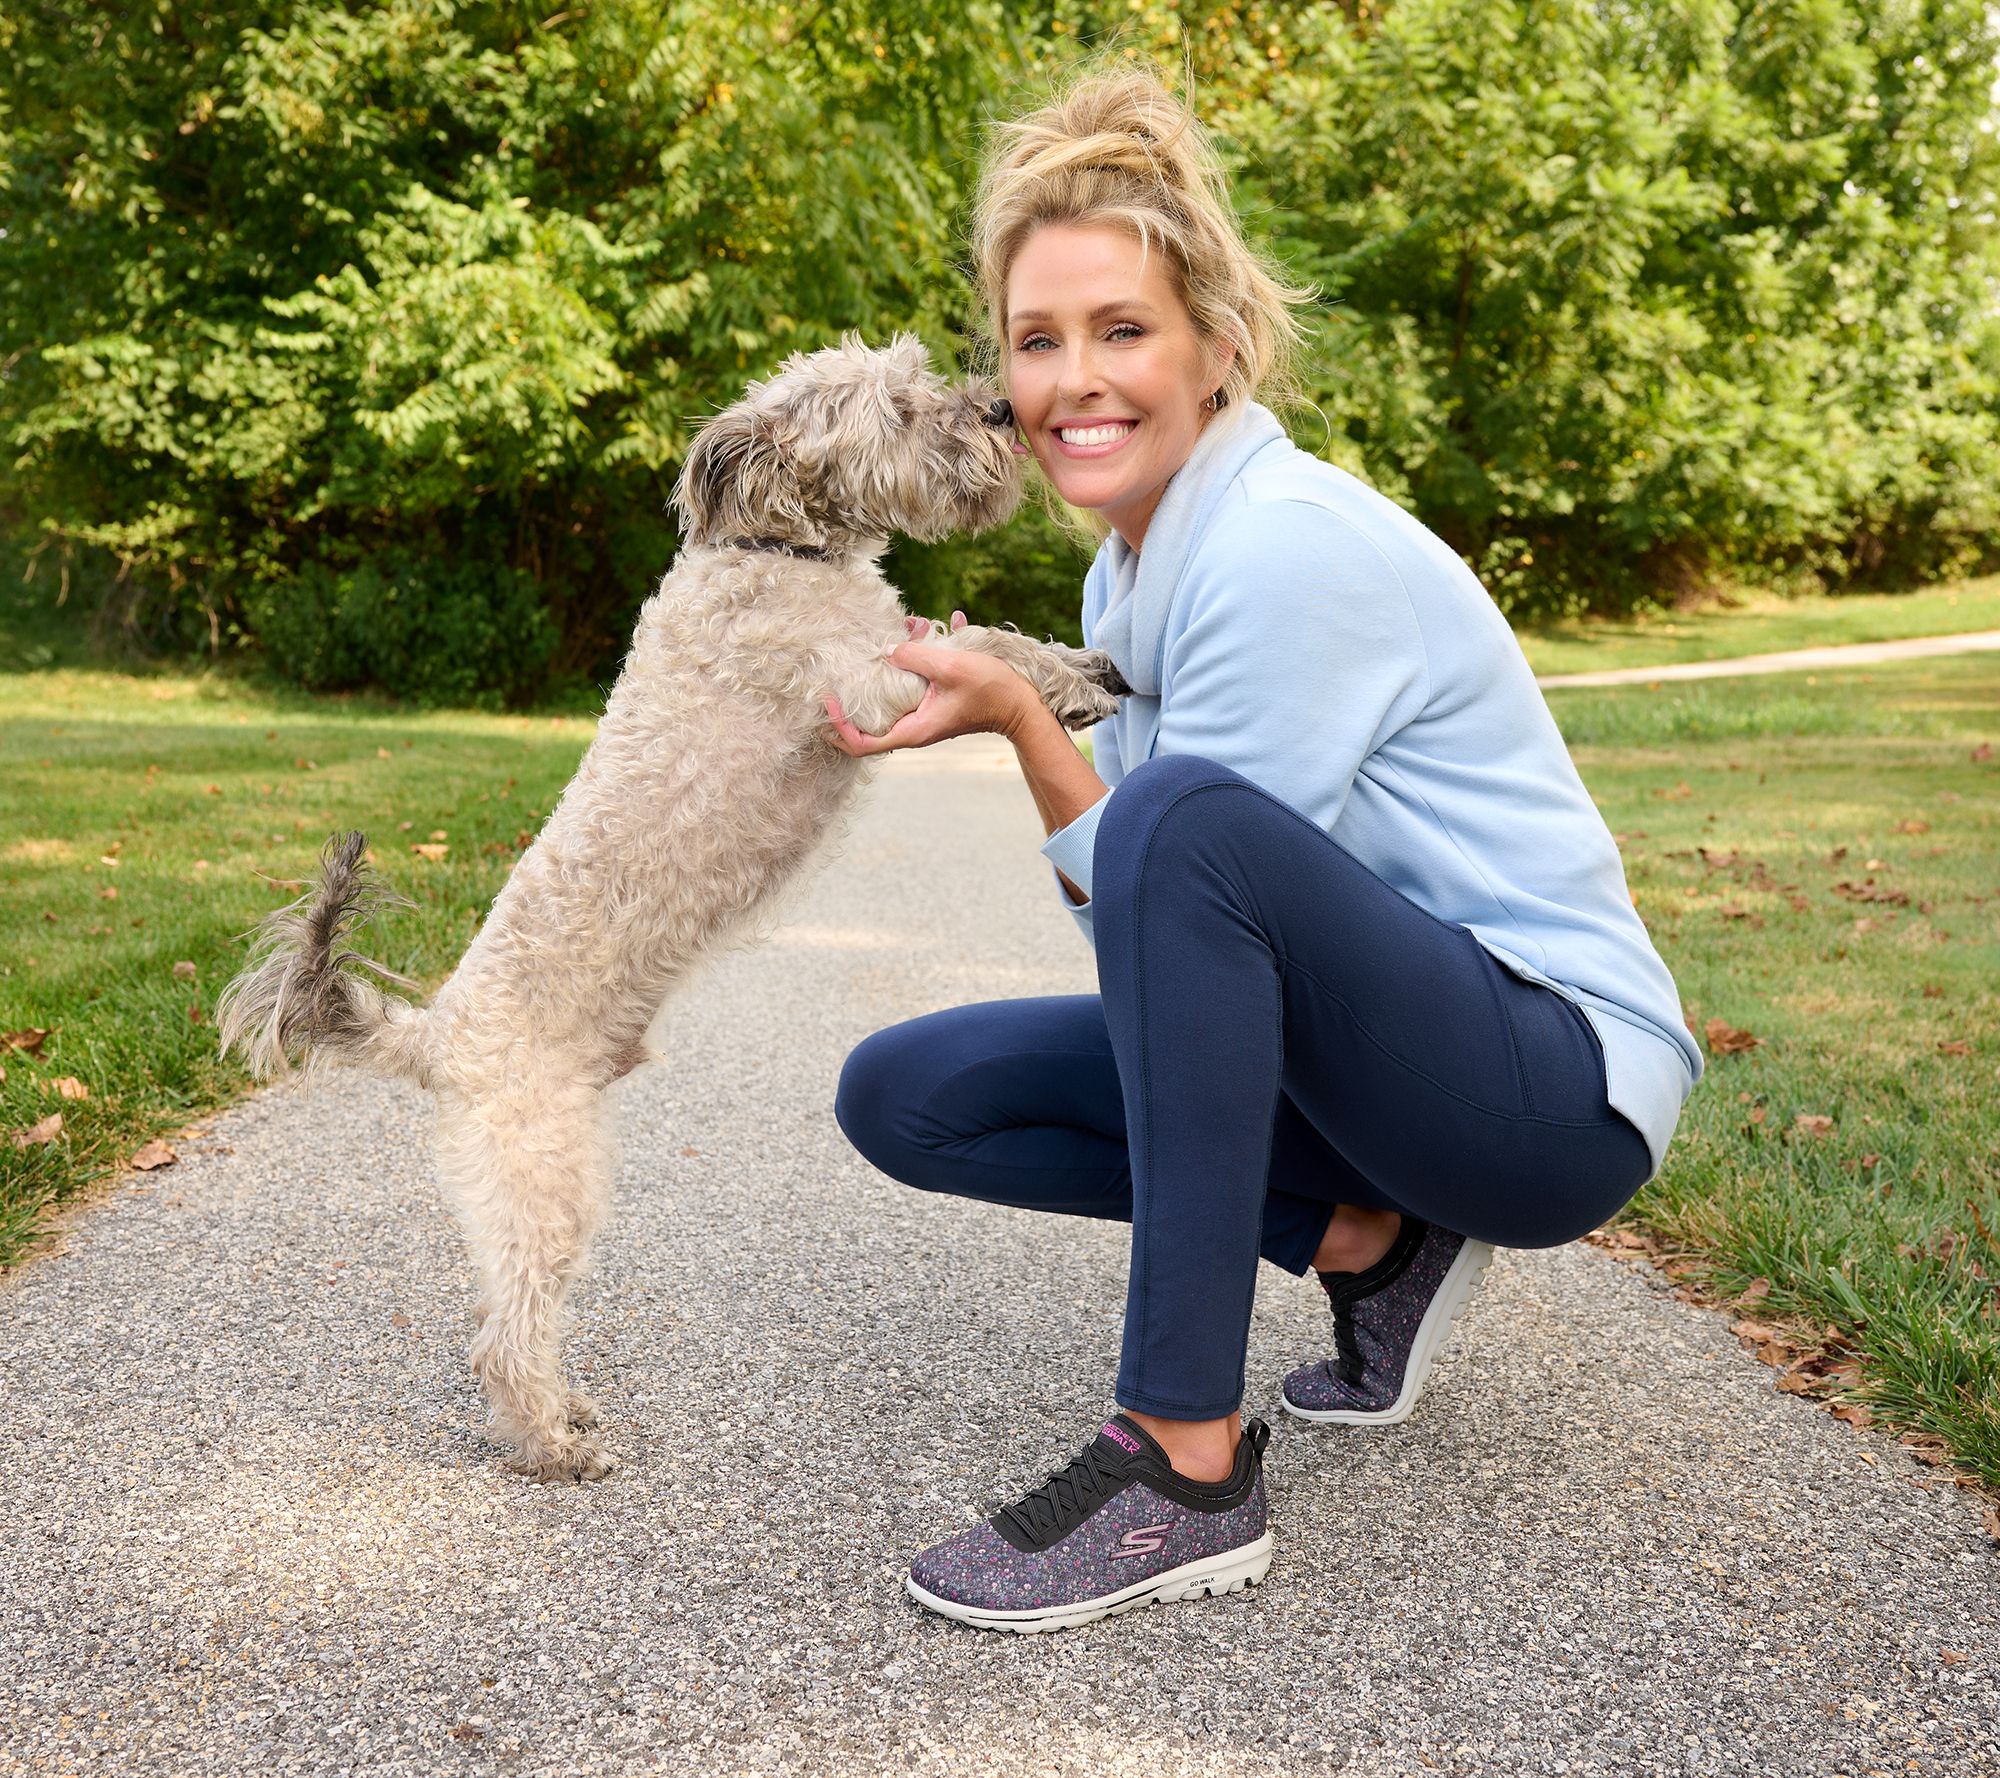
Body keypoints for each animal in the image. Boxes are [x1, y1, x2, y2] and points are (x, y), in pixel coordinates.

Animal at [217, 333, 1124, 1481]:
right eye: (902, 406)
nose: (1002, 408)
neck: (782, 553)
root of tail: (437, 1037)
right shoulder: (868, 680)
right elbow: (988, 649)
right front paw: (1072, 679)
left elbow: (1002, 637)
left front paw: (1084, 664)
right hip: (546, 1179)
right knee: (502, 1336)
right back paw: (554, 1445)